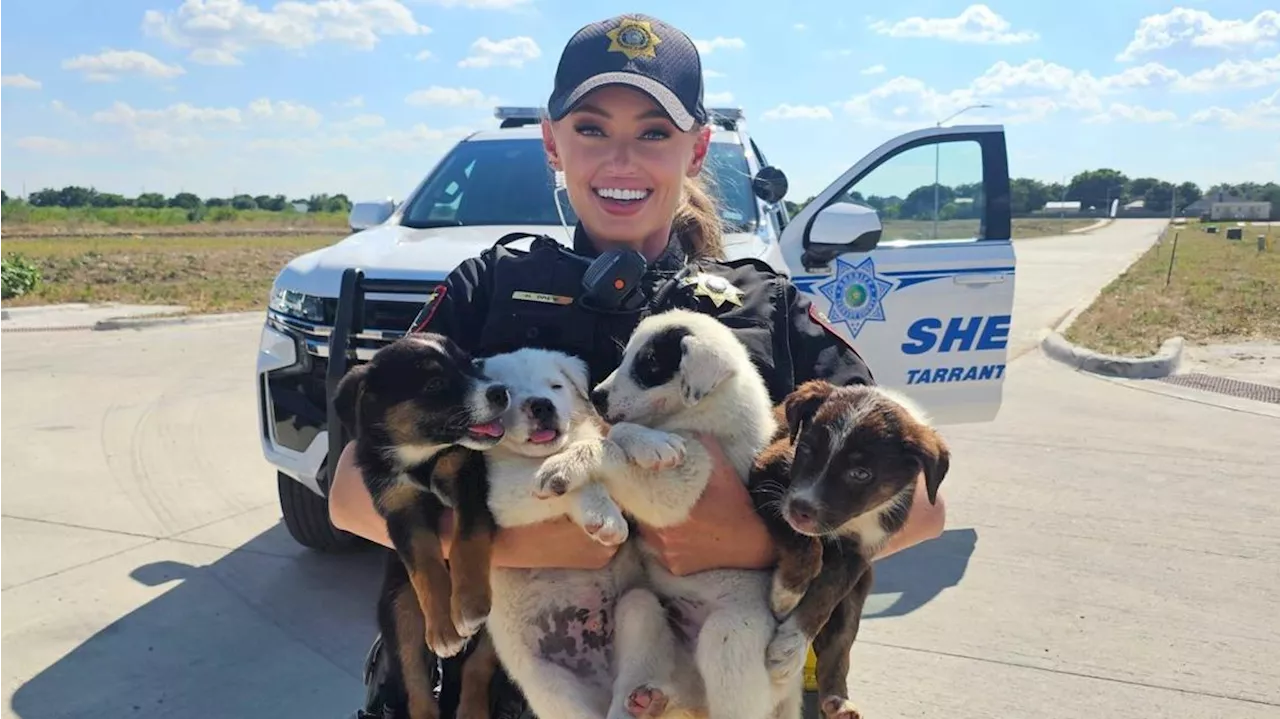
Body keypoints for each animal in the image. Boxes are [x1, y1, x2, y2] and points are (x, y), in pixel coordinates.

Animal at [335, 332, 514, 716]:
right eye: (434, 384)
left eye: (470, 364)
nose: (501, 392)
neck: (420, 458)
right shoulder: (400, 510)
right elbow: (426, 568)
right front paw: (444, 629)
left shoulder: (469, 482)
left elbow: (466, 540)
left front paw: (467, 604)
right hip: (397, 605)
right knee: (415, 682)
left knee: (477, 665)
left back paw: (472, 709)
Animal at [532, 308, 798, 716]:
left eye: (651, 363)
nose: (595, 397)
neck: (700, 413)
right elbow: (615, 434)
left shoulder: (686, 481)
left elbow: (615, 439)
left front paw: (571, 462)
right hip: (640, 608)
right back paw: (647, 700)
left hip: (731, 635)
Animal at [747, 378, 952, 711]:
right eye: (805, 449)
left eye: (860, 474)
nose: (801, 509)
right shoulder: (769, 476)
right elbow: (809, 548)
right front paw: (786, 594)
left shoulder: (859, 555)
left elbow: (824, 597)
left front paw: (790, 648)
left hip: (856, 597)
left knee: (839, 643)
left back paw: (838, 702)